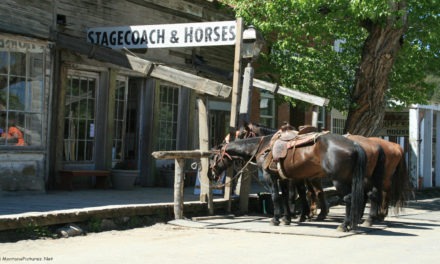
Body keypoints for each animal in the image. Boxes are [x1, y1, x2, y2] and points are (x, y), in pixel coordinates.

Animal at [211, 133, 366, 232]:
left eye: (214, 157)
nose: (211, 174)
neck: (263, 147)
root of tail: (354, 144)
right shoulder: (283, 179)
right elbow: (285, 197)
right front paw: (287, 218)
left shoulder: (270, 177)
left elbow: (276, 197)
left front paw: (276, 219)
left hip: (339, 180)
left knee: (348, 198)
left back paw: (344, 225)